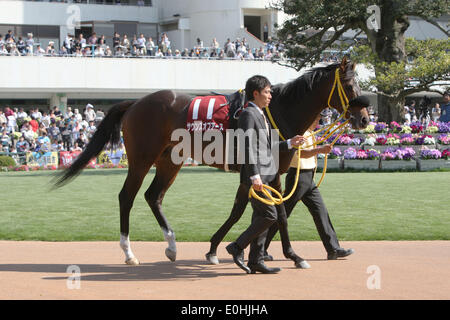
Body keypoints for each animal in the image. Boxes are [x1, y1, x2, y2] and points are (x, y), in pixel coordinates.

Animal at [55, 57, 370, 268]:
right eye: (349, 84)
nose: (365, 119)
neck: (275, 111)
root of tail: (134, 103)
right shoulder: (258, 172)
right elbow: (267, 213)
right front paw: (289, 255)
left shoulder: (270, 175)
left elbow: (263, 211)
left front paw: (226, 249)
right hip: (142, 158)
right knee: (127, 197)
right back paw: (129, 252)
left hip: (170, 160)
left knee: (153, 196)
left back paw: (172, 246)